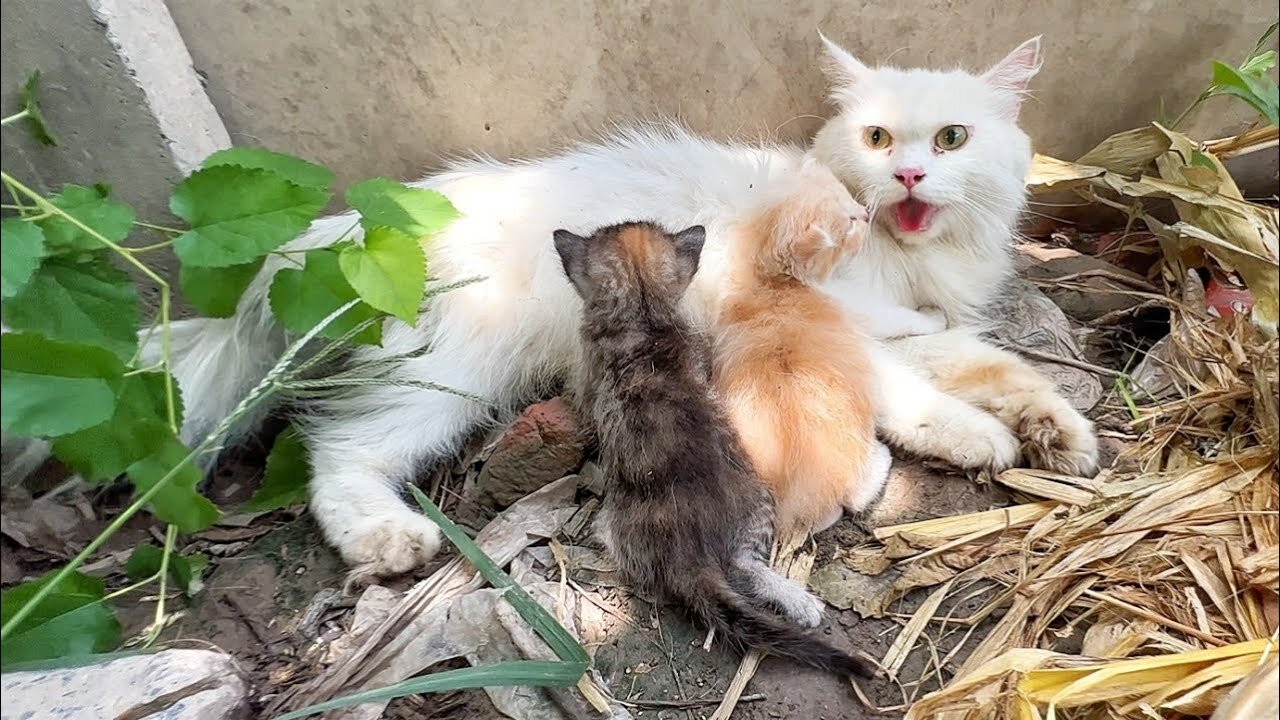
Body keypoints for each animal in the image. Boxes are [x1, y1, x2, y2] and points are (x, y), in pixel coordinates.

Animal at [555, 221, 875, 676]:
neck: (643, 314)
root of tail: (694, 556)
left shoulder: (589, 373)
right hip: (758, 501)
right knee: (744, 564)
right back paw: (798, 600)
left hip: (615, 526)